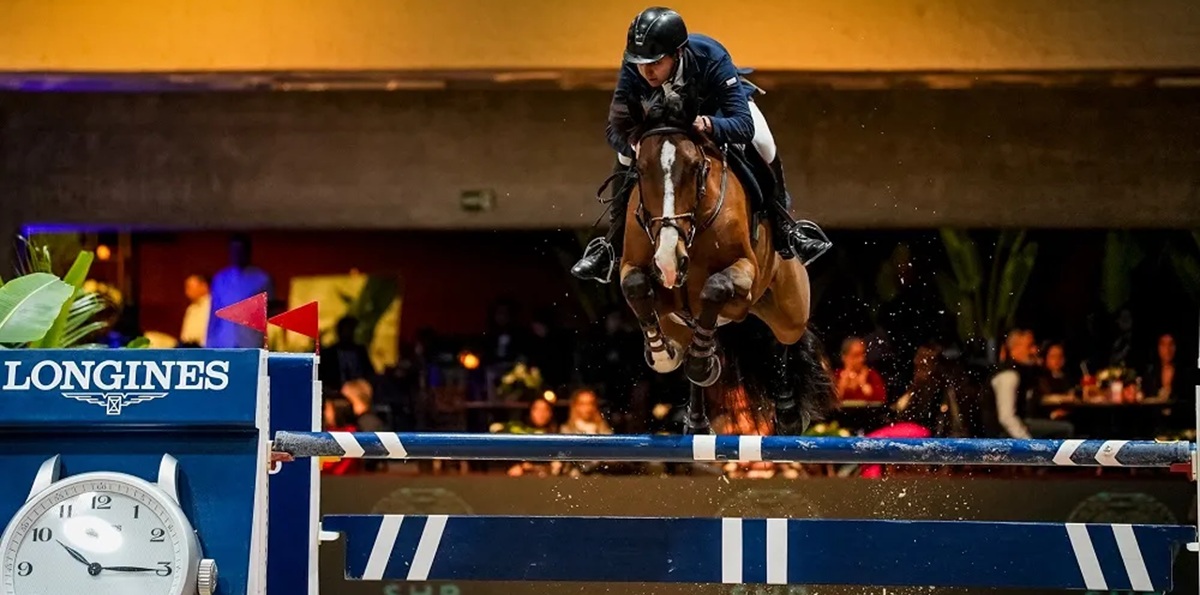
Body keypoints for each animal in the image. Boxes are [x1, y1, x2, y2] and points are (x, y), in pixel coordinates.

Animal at [615, 90, 836, 436]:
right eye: (640, 170)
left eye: (695, 167)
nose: (668, 260)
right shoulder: (639, 273)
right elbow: (636, 285)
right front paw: (661, 352)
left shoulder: (744, 276)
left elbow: (717, 287)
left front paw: (702, 363)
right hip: (680, 323)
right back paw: (696, 421)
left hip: (790, 308)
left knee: (781, 341)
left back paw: (787, 413)